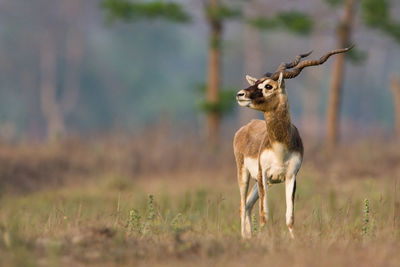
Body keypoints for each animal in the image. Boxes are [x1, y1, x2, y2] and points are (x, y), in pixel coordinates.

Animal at [234, 45, 354, 239]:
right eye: (256, 82)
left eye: (268, 86)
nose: (240, 94)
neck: (279, 148)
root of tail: (247, 126)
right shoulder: (263, 174)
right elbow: (265, 215)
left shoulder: (291, 176)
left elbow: (290, 217)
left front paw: (293, 240)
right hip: (244, 174)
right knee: (242, 205)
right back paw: (245, 237)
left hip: (260, 181)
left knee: (248, 204)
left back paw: (248, 237)